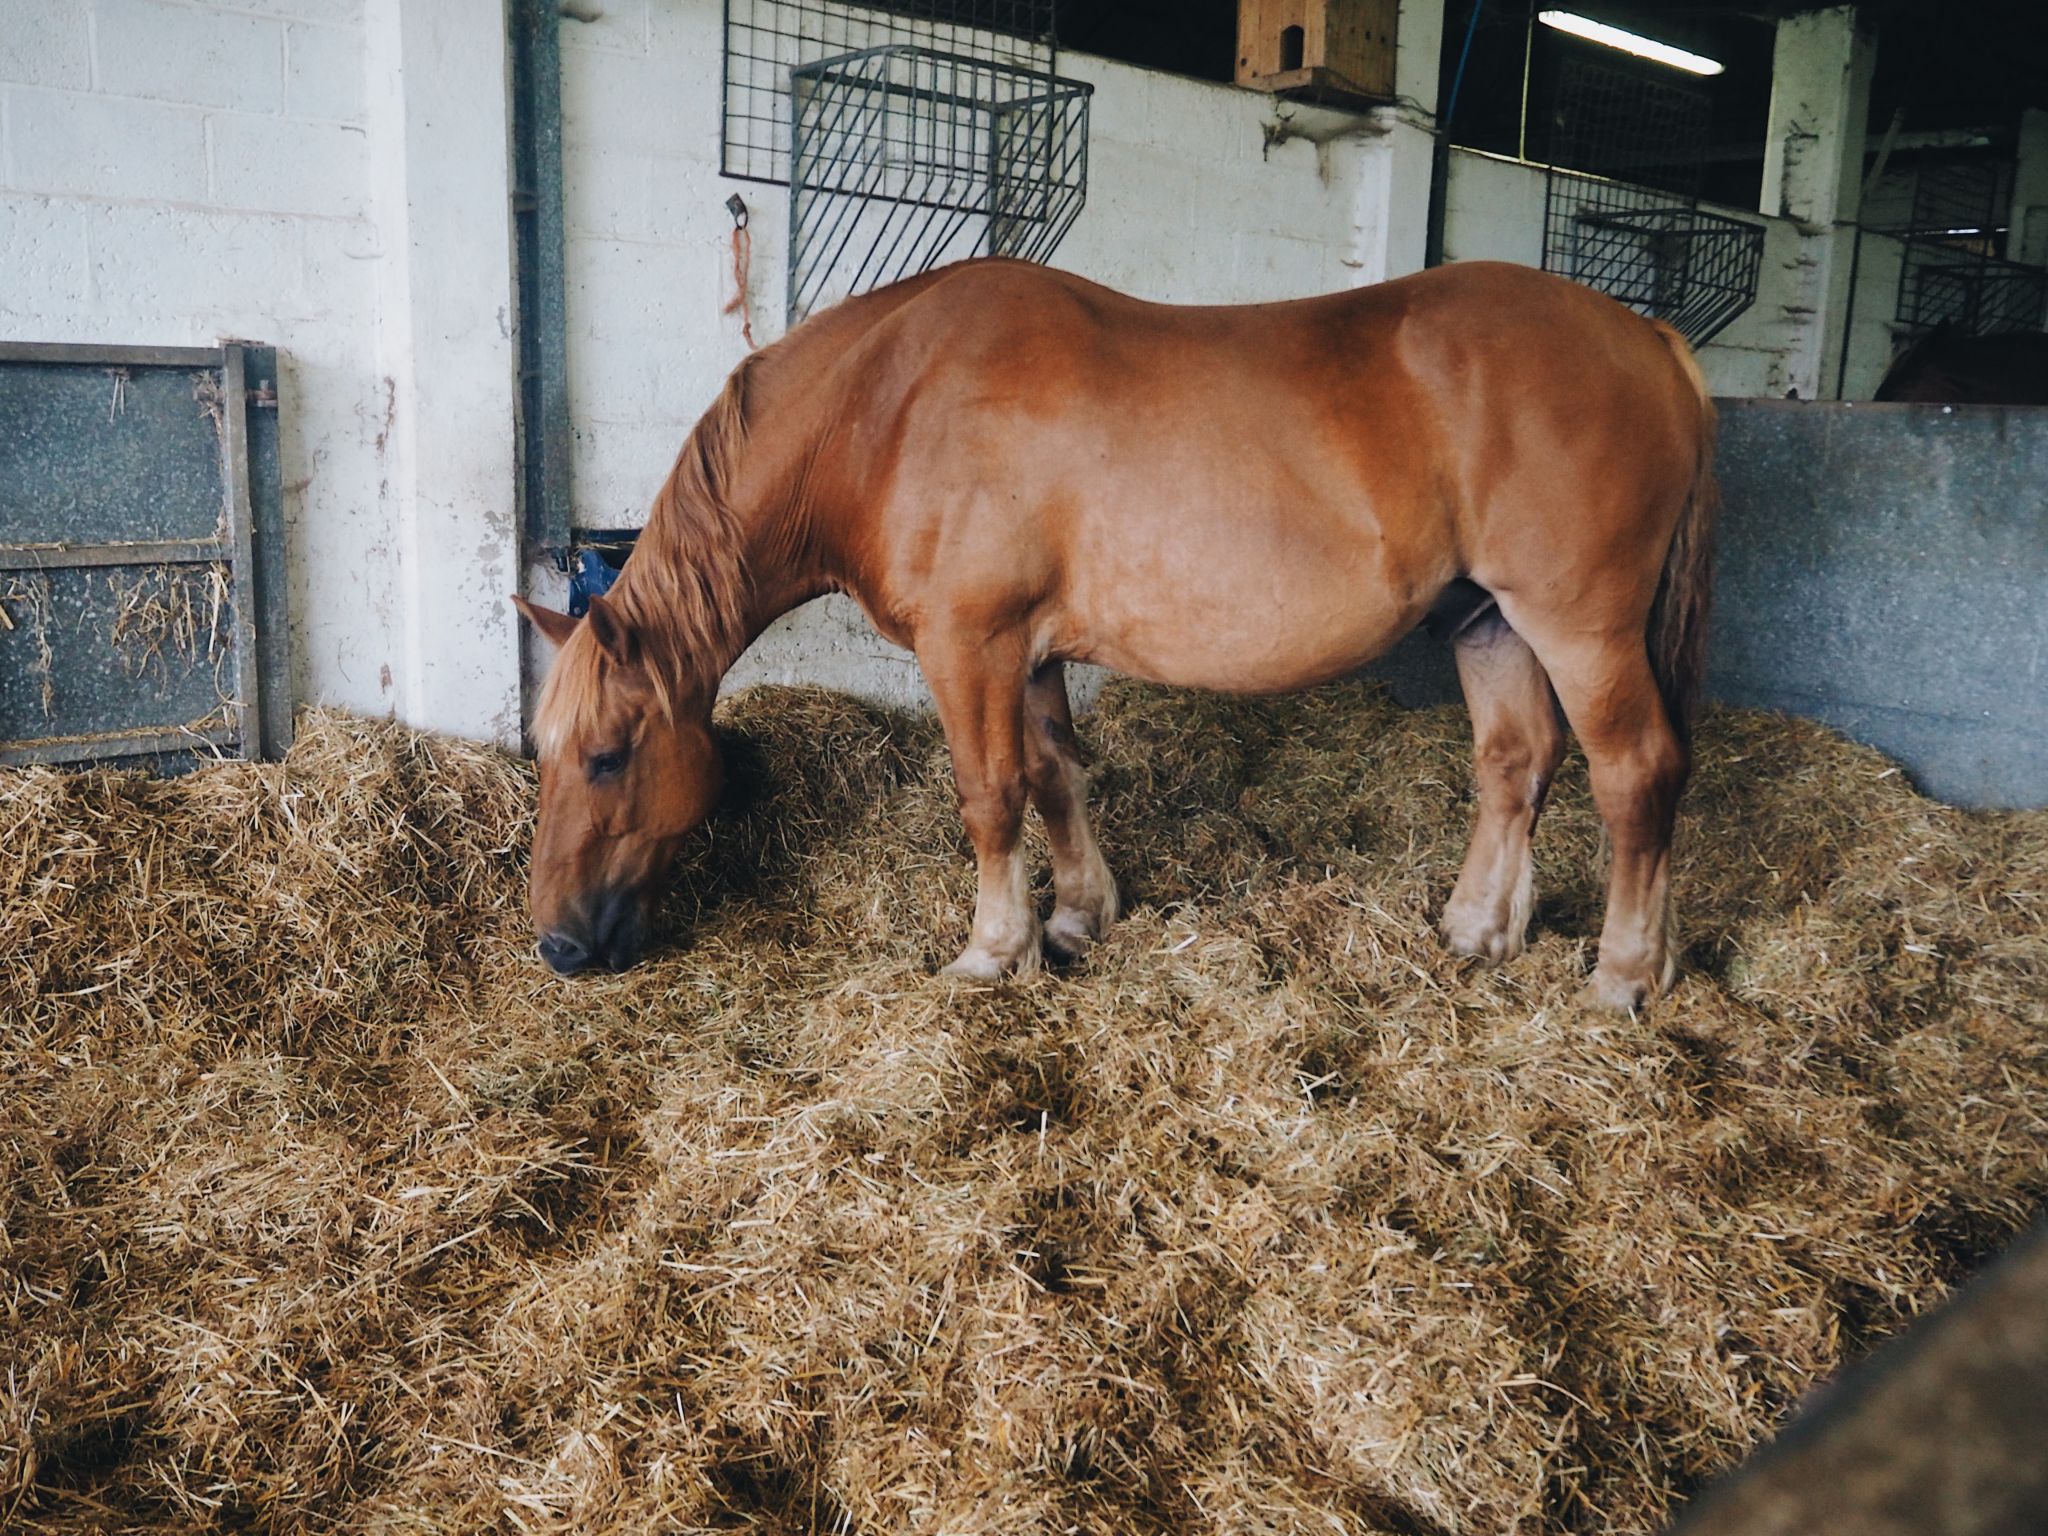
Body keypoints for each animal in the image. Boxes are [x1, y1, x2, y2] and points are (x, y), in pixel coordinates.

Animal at [507, 257, 1712, 1011]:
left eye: (607, 755)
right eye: (545, 754)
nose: (556, 946)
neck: (888, 406)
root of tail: (1649, 338)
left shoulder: (972, 645)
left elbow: (988, 796)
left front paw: (994, 951)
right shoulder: (1032, 653)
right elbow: (1052, 778)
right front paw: (1079, 917)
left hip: (1580, 627)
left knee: (1634, 775)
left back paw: (1621, 976)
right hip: (1488, 622)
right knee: (1515, 764)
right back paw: (1479, 931)